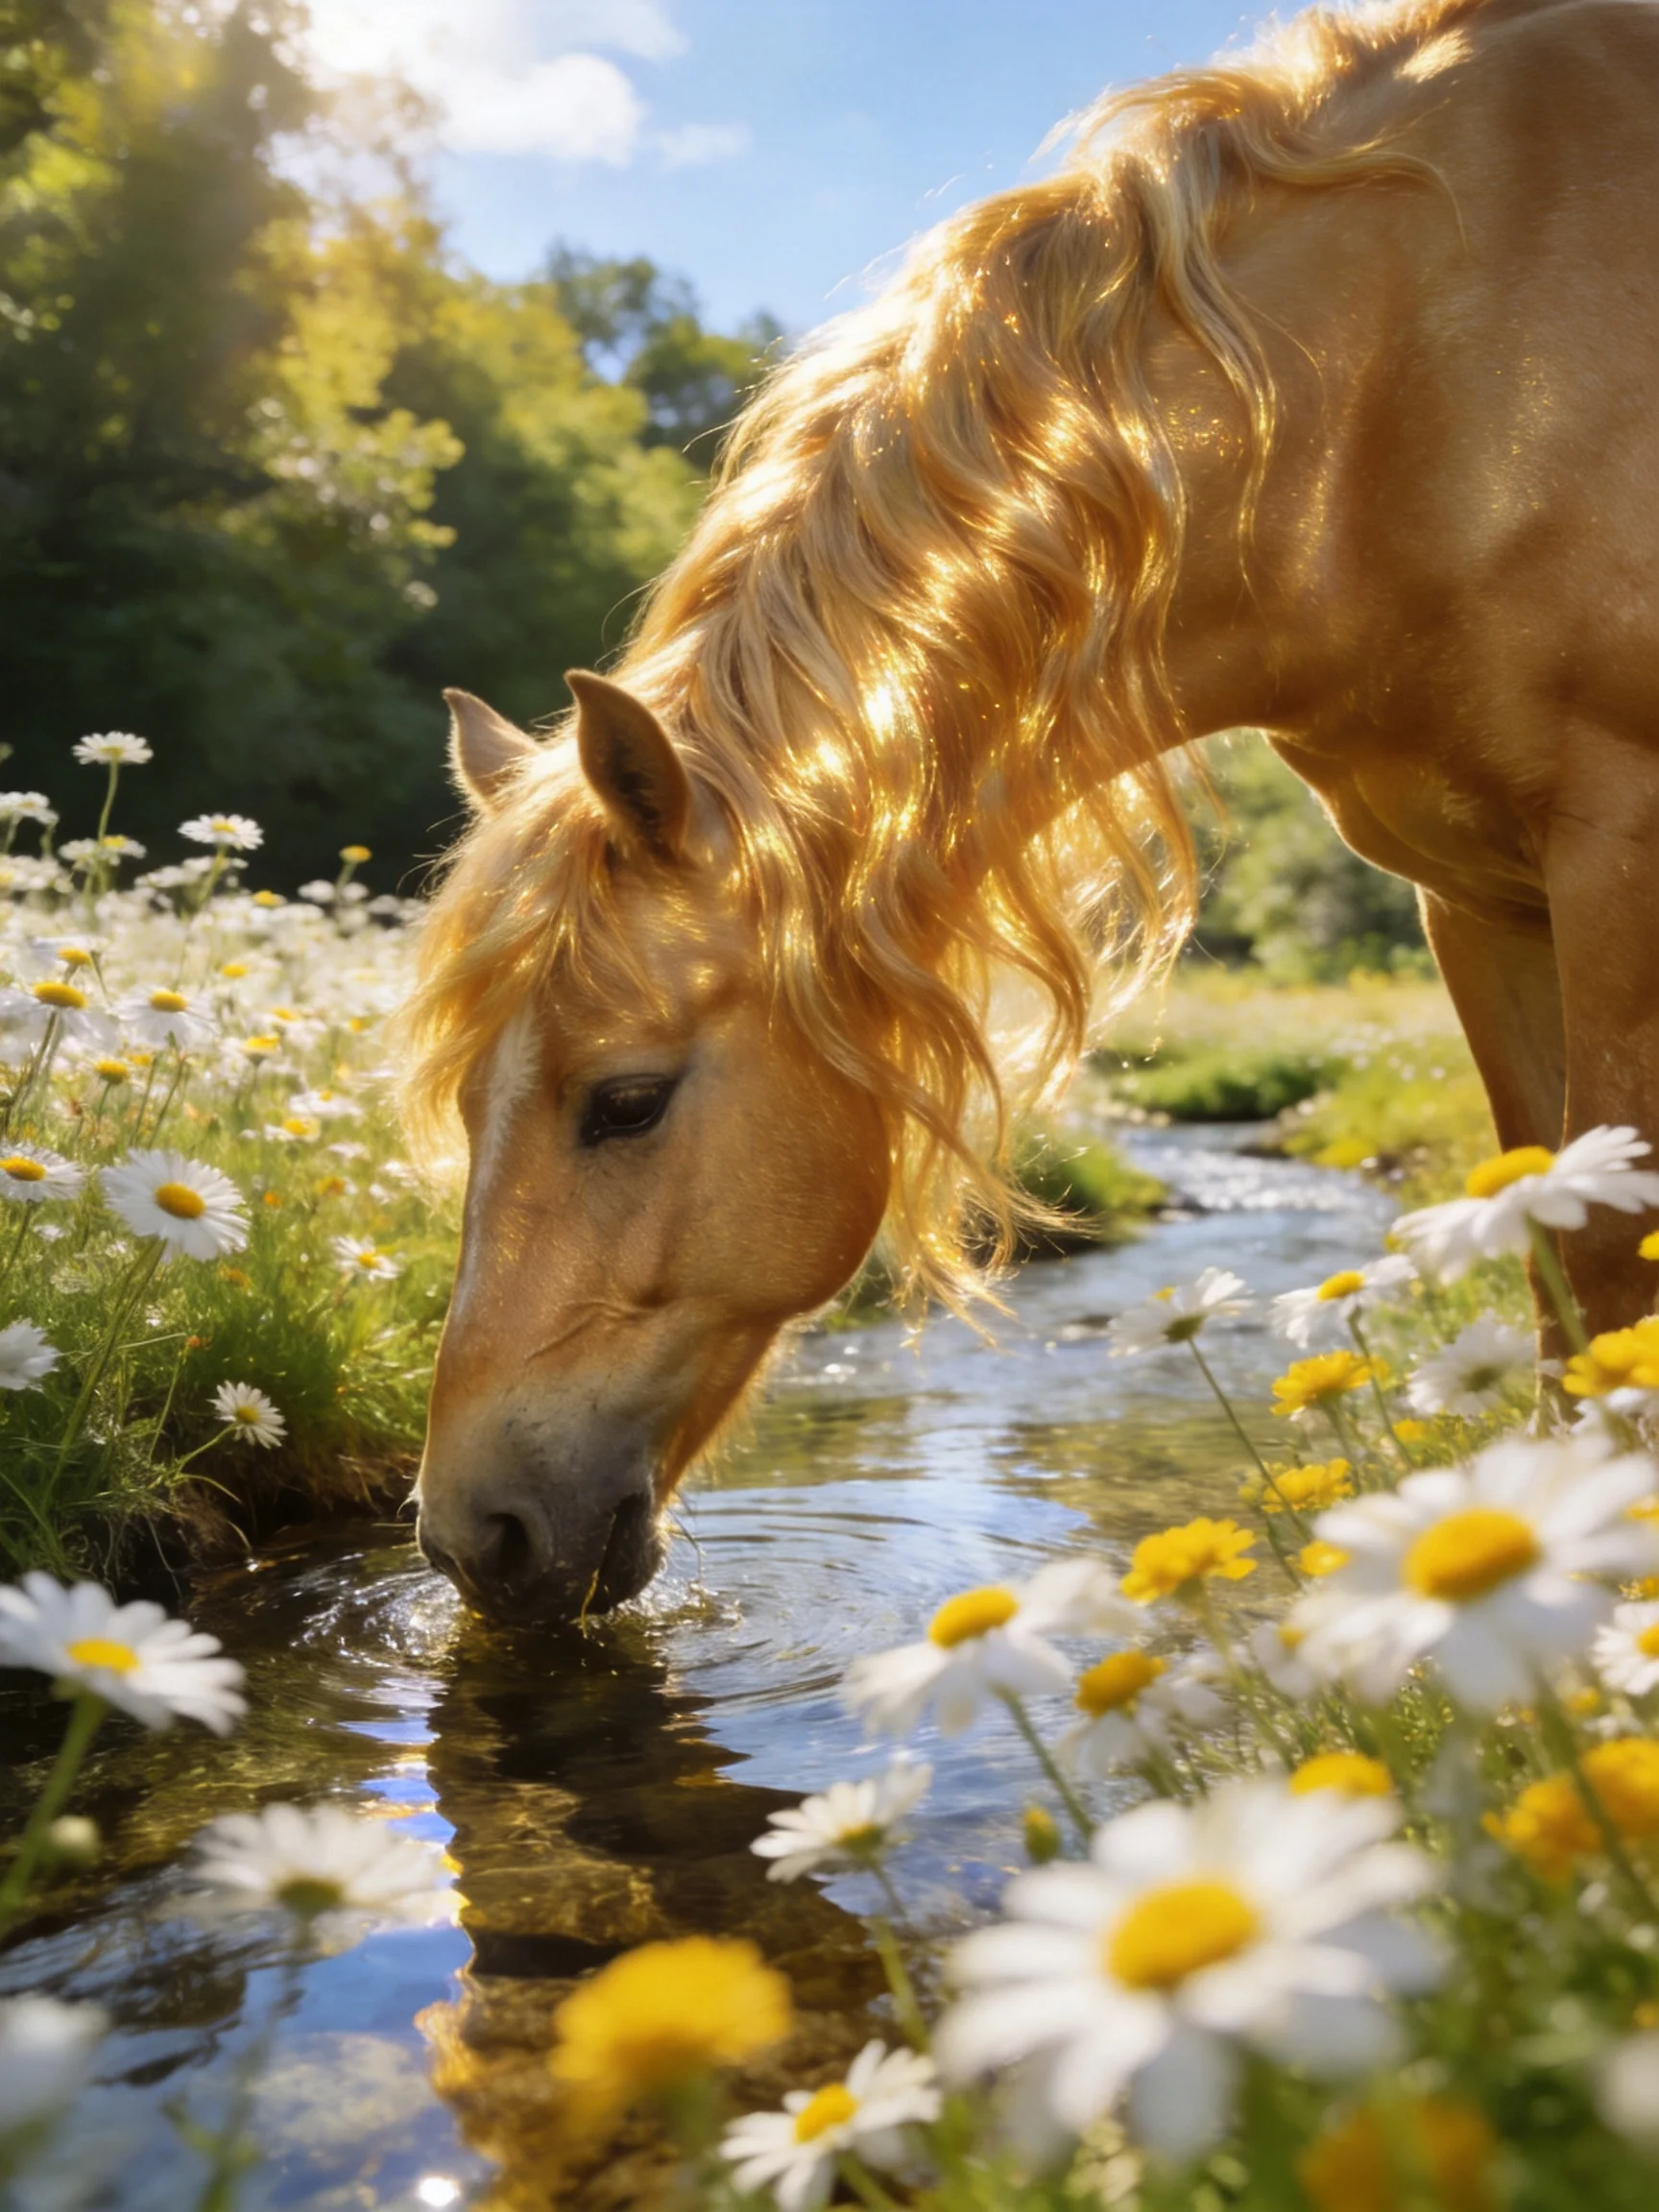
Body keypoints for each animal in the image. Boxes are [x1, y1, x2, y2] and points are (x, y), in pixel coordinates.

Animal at [400, 0, 1659, 1625]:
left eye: (623, 1101)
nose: (465, 1537)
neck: (1401, 388)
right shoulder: (1483, 900)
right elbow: (1553, 1261)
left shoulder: (1618, 857)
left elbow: (1615, 1266)